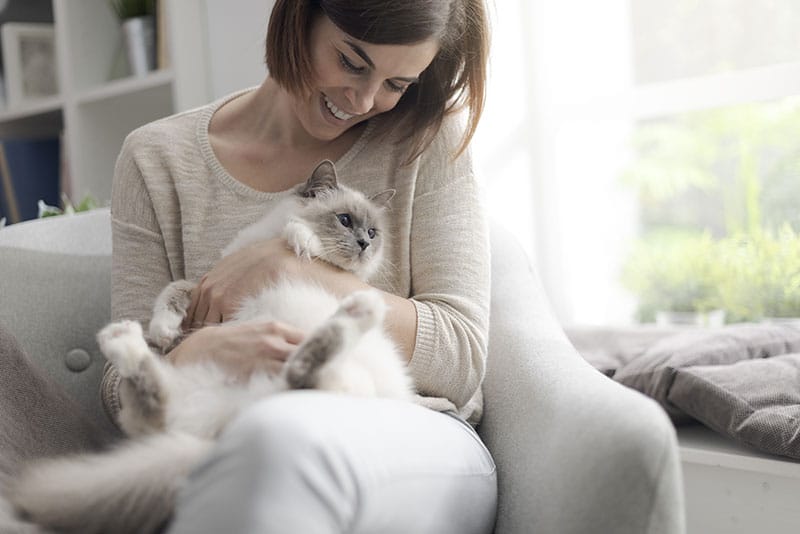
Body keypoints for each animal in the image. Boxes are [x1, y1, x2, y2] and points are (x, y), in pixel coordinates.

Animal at [7, 161, 412, 534]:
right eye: (345, 220)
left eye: (372, 232)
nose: (364, 245)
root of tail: (229, 430)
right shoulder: (207, 283)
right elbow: (173, 292)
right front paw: (163, 331)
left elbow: (297, 238)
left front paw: (303, 242)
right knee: (151, 410)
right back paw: (121, 339)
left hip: (334, 388)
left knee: (302, 373)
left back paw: (360, 312)